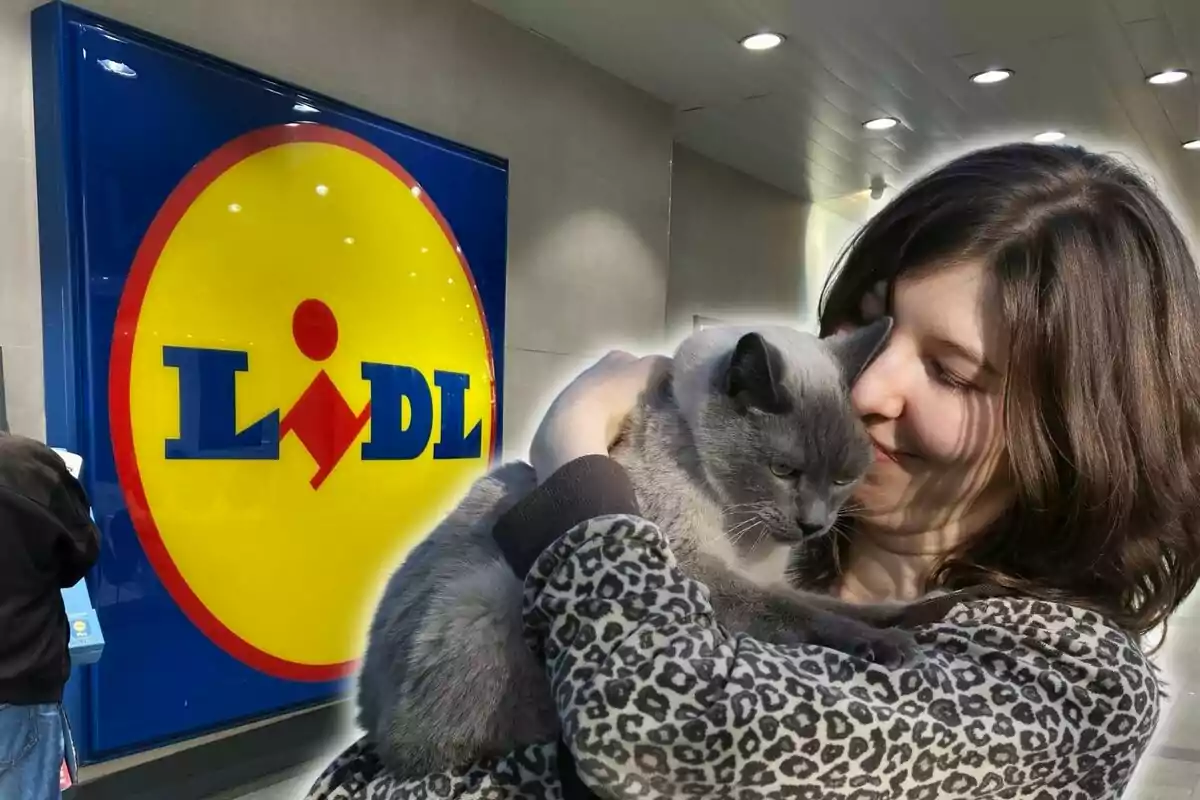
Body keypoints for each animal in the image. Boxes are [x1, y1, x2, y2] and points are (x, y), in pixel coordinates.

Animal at [355, 316, 907, 777]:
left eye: (844, 479)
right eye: (783, 470)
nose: (813, 525)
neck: (747, 537)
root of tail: (367, 711)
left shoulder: (764, 576)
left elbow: (828, 603)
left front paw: (909, 616)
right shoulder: (700, 571)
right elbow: (799, 612)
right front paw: (890, 646)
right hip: (490, 594)